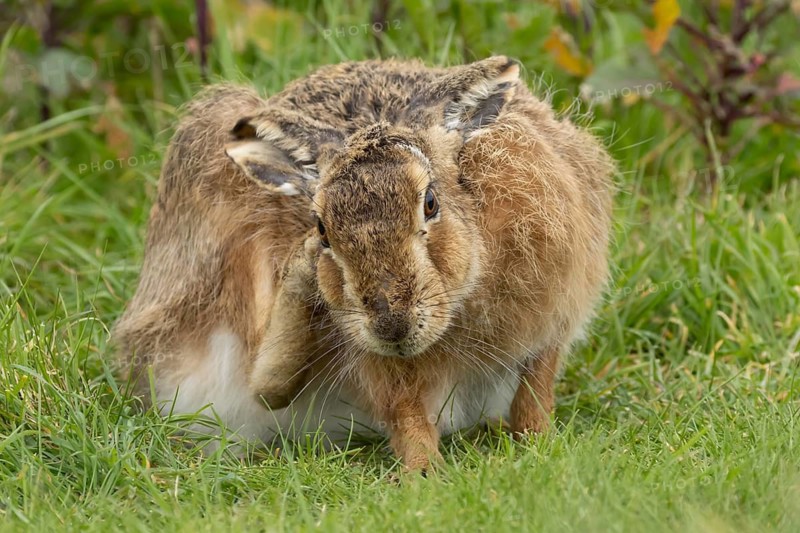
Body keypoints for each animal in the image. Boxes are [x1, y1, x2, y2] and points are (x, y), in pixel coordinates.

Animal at [115, 56, 614, 468]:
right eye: (321, 229)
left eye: (430, 202)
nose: (391, 323)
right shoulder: (380, 367)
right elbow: (407, 418)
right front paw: (425, 475)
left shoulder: (552, 317)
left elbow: (535, 391)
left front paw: (540, 447)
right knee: (266, 387)